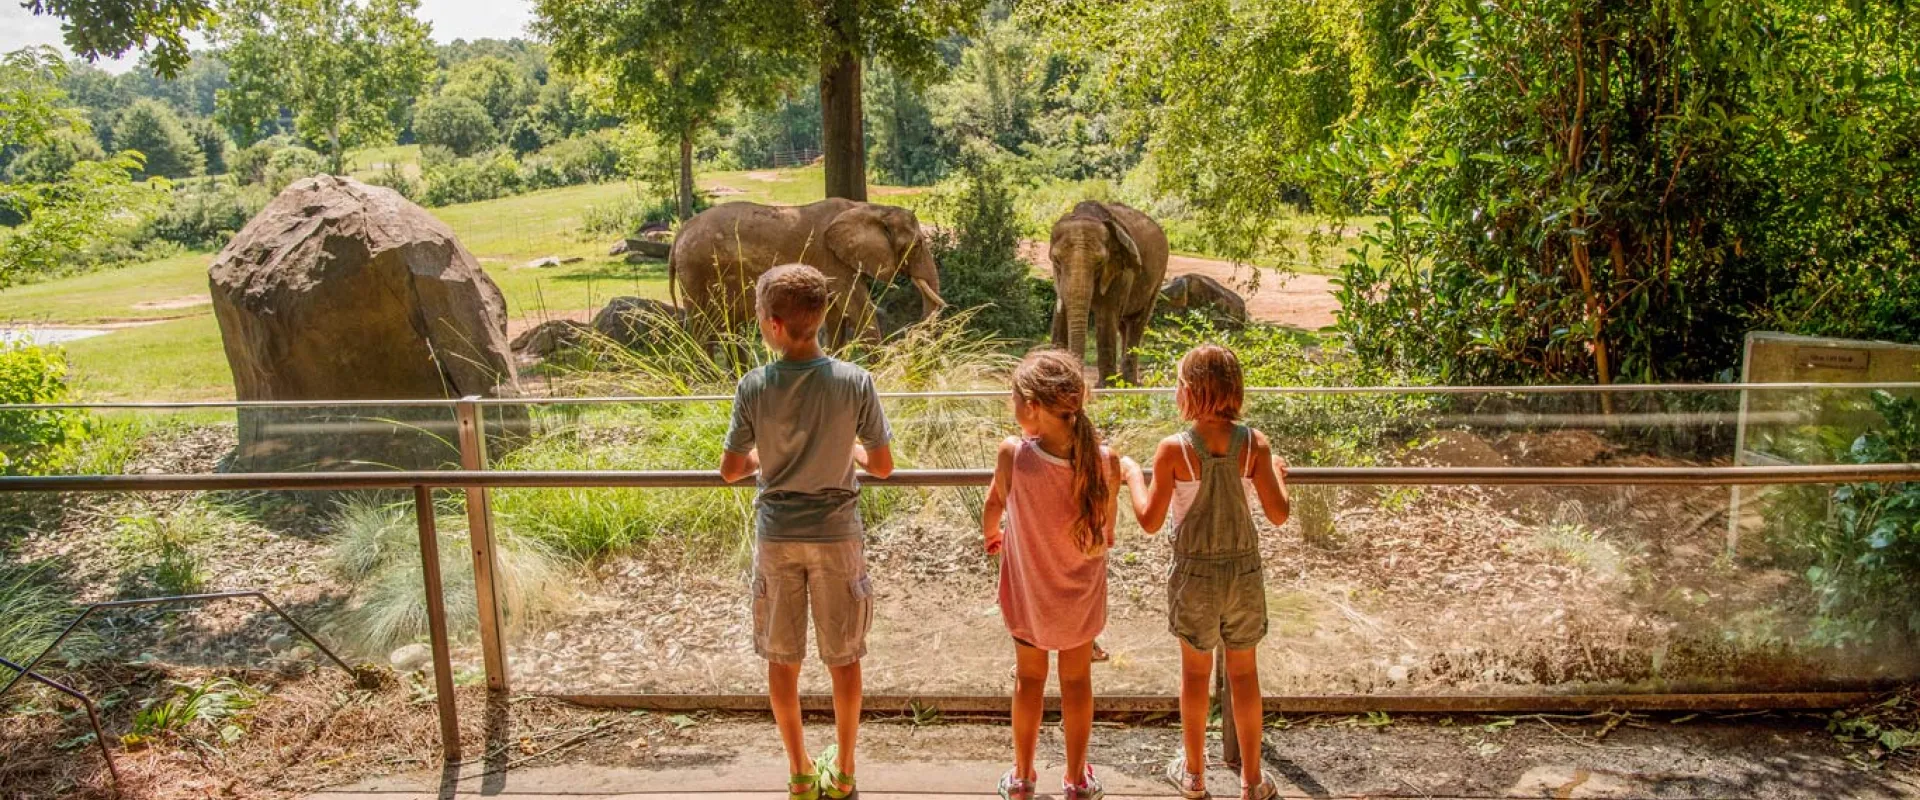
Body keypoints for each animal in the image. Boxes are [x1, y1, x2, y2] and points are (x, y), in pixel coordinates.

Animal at [669, 199, 946, 345]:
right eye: (917, 245)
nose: (911, 335)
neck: (868, 208)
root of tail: (679, 234)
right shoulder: (831, 261)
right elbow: (858, 308)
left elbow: (835, 315)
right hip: (697, 272)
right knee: (705, 329)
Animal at [1049, 201, 1169, 386]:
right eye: (1056, 260)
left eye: (1100, 263)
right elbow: (1060, 315)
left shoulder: (1120, 271)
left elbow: (1106, 316)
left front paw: (1105, 388)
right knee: (1124, 324)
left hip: (1159, 276)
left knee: (1137, 321)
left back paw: (1129, 384)